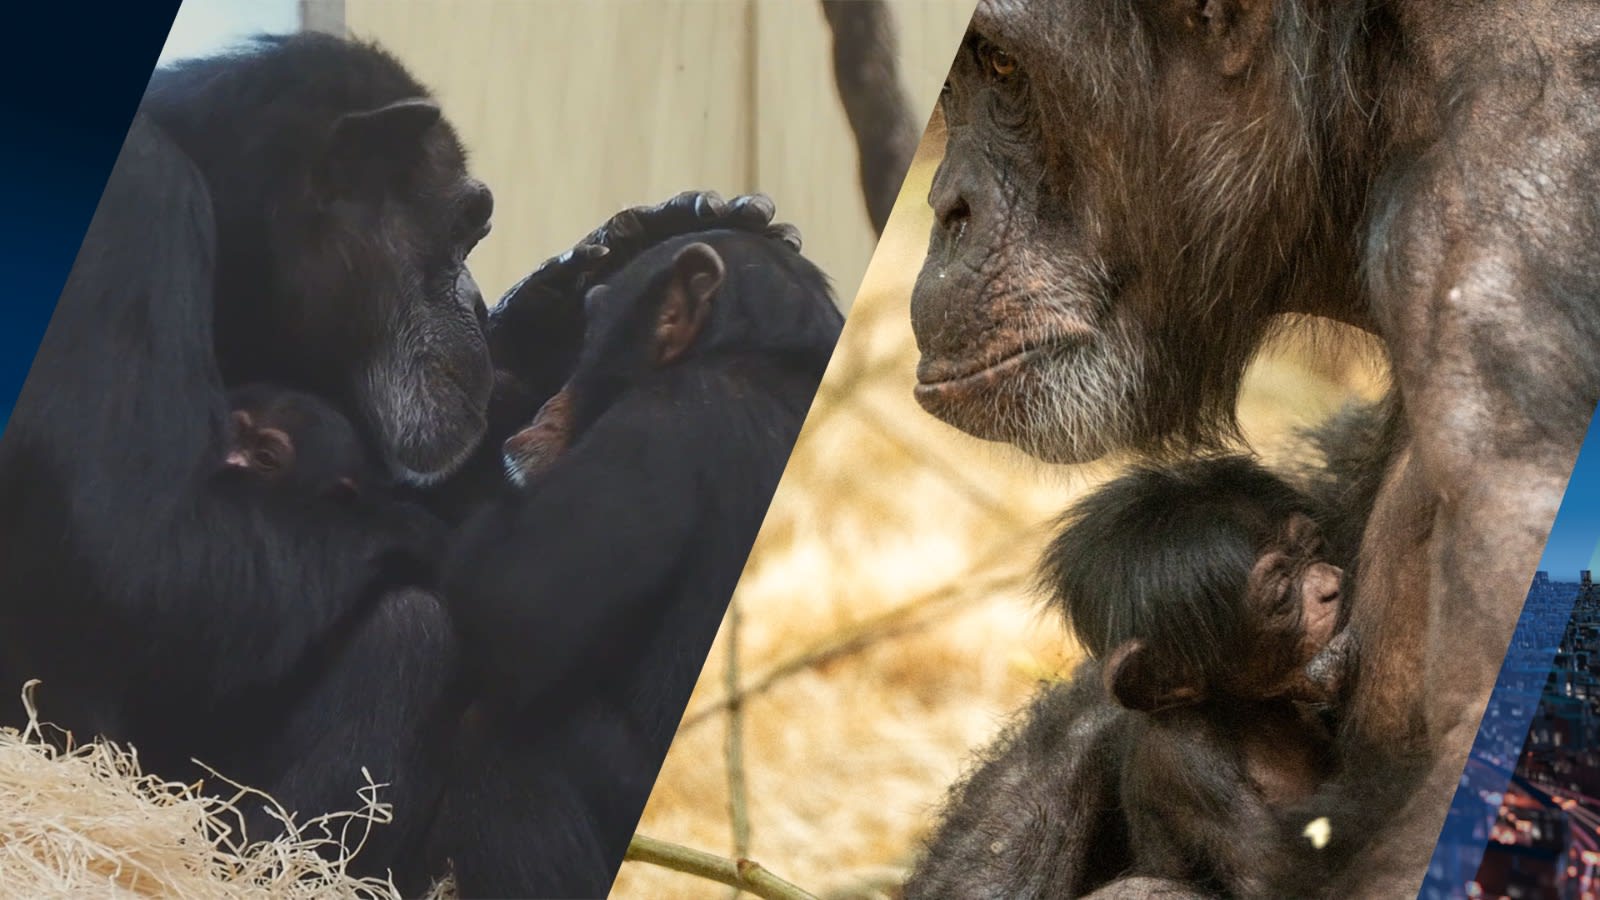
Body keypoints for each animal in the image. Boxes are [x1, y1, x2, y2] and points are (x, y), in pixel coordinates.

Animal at [0, 31, 492, 871]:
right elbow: (133, 555)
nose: (482, 306)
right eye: (465, 229)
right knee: (411, 632)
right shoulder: (139, 204)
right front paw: (441, 540)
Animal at [1043, 454, 1344, 896]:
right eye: (1281, 594)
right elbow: (1278, 873)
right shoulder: (1188, 763)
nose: (1332, 587)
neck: (1244, 712)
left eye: (1314, 549)